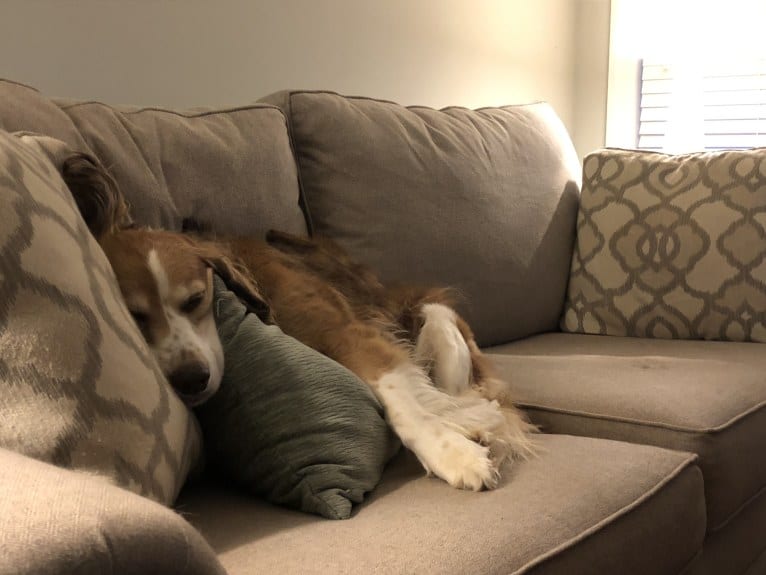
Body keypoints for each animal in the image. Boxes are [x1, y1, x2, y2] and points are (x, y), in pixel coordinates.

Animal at [63, 152, 536, 490]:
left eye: (196, 299)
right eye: (135, 316)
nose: (191, 380)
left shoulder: (348, 333)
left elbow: (405, 406)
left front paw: (452, 453)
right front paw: (467, 430)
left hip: (437, 320)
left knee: (466, 387)